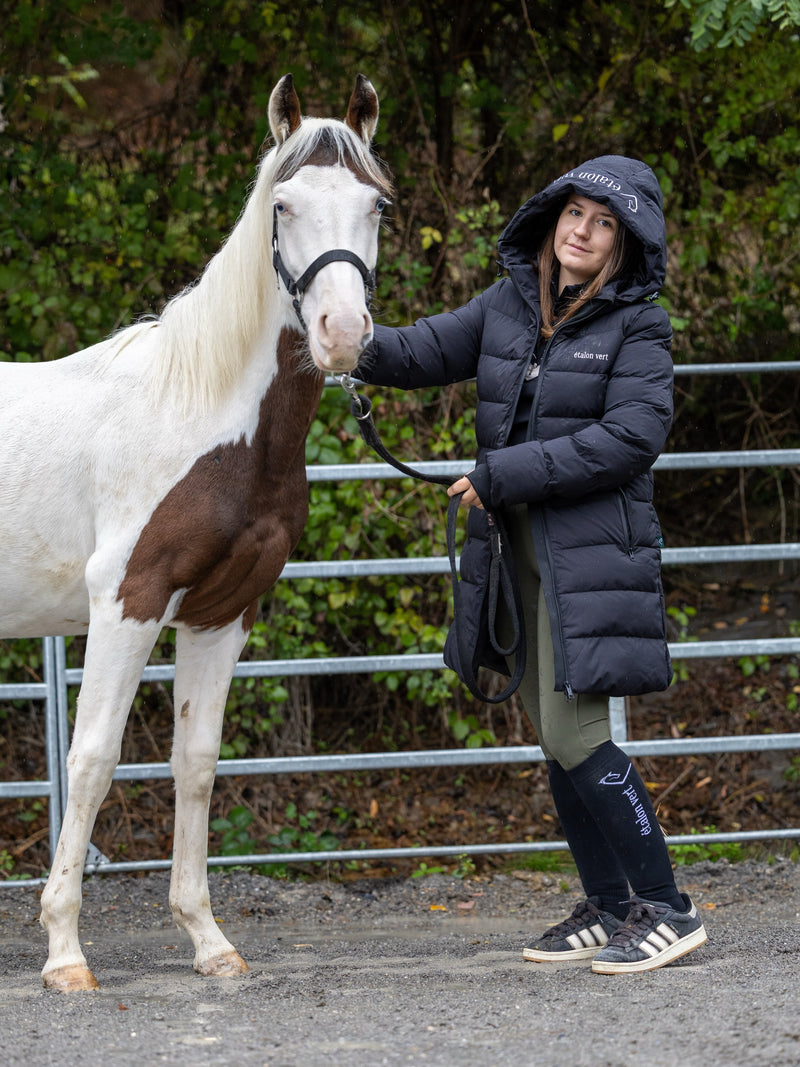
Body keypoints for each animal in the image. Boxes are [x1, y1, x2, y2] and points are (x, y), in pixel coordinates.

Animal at [0, 73, 393, 992]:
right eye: (283, 204)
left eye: (378, 204)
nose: (342, 336)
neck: (203, 416)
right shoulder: (128, 599)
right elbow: (93, 760)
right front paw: (65, 952)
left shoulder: (222, 612)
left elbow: (198, 762)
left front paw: (207, 939)